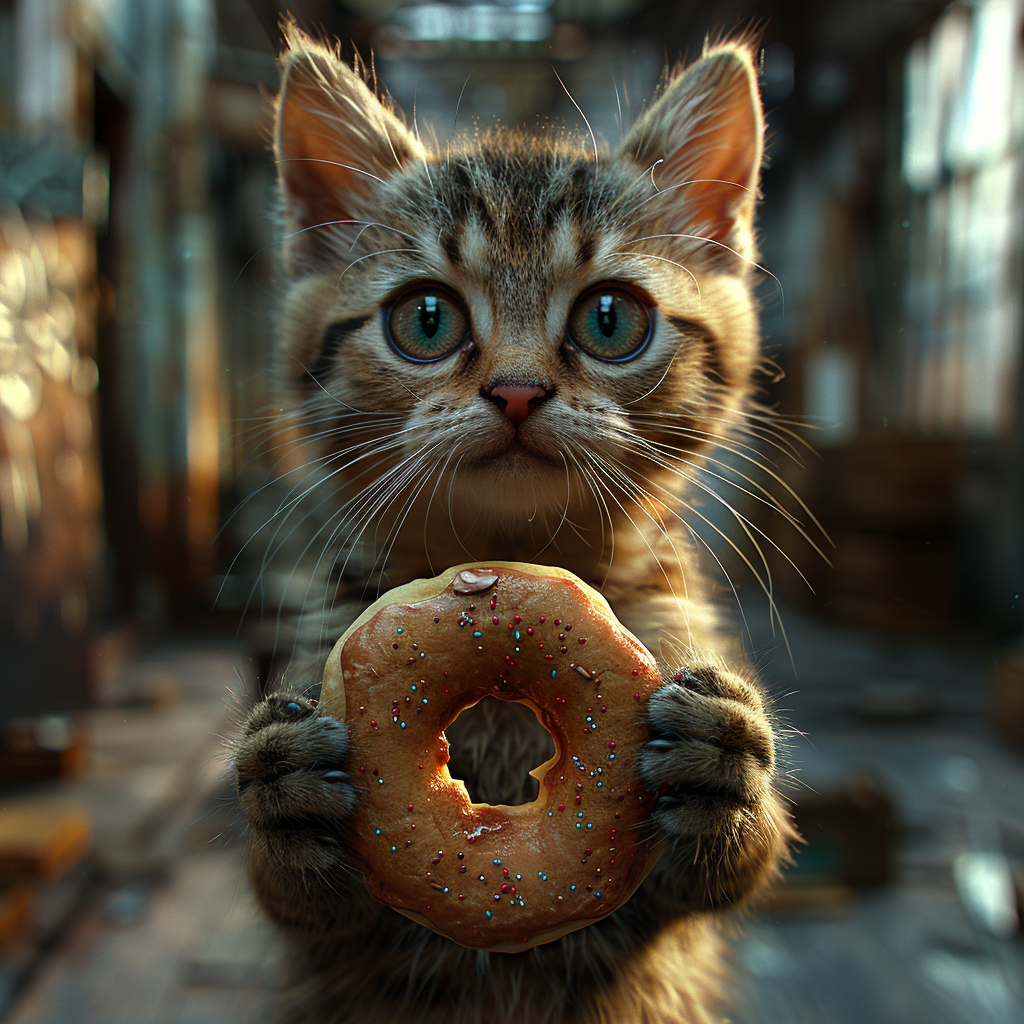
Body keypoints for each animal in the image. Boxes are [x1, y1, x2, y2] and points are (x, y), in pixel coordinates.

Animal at [235, 25, 794, 1024]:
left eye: (610, 319)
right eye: (426, 319)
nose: (520, 390)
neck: (513, 554)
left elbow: (734, 872)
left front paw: (726, 762)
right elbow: (296, 901)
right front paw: (282, 788)